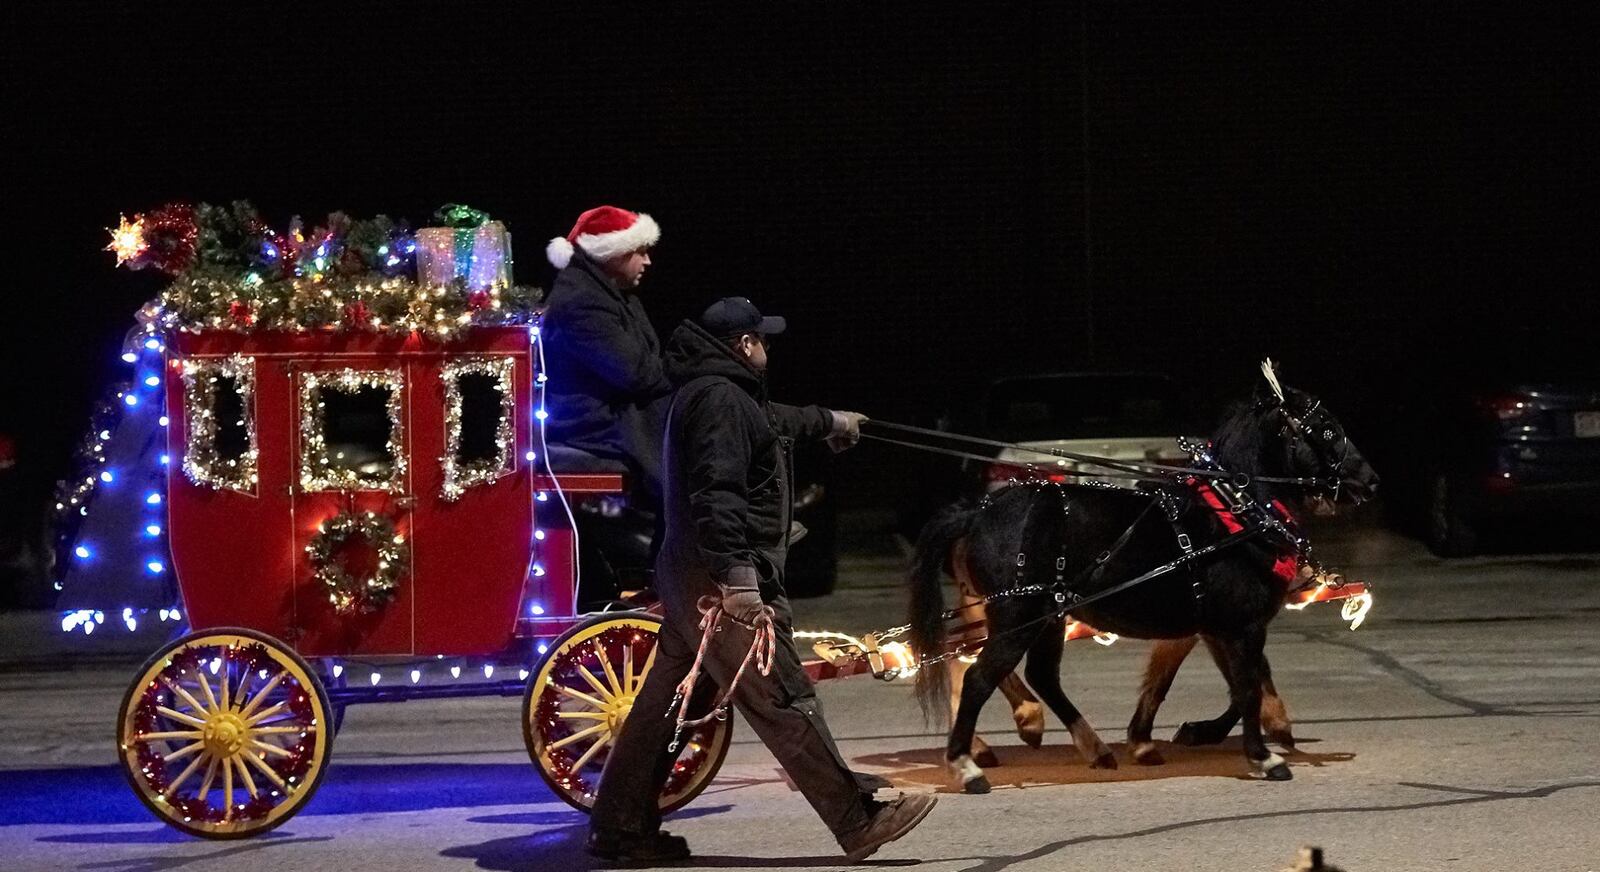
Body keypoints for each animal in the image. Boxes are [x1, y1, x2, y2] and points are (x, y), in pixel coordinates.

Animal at [908, 360, 1382, 787]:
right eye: (1326, 429)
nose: (1371, 481)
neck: (1233, 512)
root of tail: (978, 511)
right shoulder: (1242, 625)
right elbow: (1248, 686)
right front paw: (1263, 757)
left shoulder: (1216, 626)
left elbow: (1233, 683)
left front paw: (1190, 734)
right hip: (1017, 617)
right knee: (977, 676)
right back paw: (968, 763)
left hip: (1048, 617)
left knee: (1040, 675)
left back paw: (1094, 748)